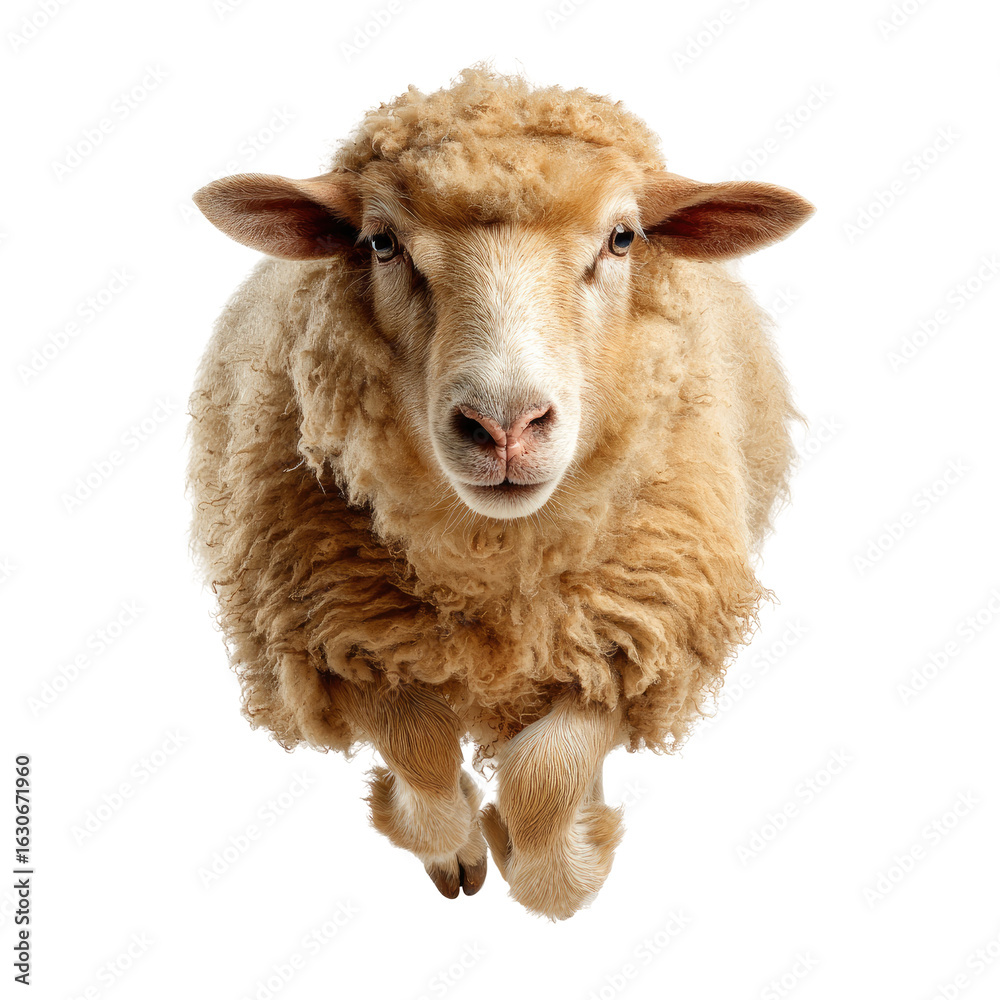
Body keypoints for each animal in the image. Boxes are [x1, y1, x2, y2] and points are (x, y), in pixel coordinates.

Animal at [188, 66, 813, 920]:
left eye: (623, 238)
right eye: (380, 242)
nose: (505, 425)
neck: (497, 573)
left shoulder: (633, 628)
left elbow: (545, 774)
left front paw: (554, 858)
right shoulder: (338, 629)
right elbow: (417, 743)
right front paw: (449, 838)